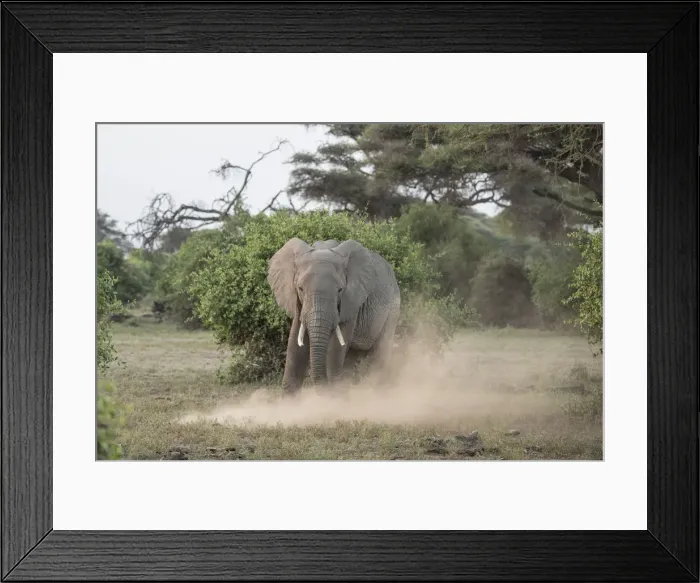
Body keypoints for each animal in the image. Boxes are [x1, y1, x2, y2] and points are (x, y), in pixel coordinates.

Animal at [267, 237, 401, 394]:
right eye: (300, 288)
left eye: (340, 290)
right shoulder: (298, 303)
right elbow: (295, 344)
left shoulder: (352, 300)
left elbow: (335, 347)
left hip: (393, 309)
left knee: (379, 355)